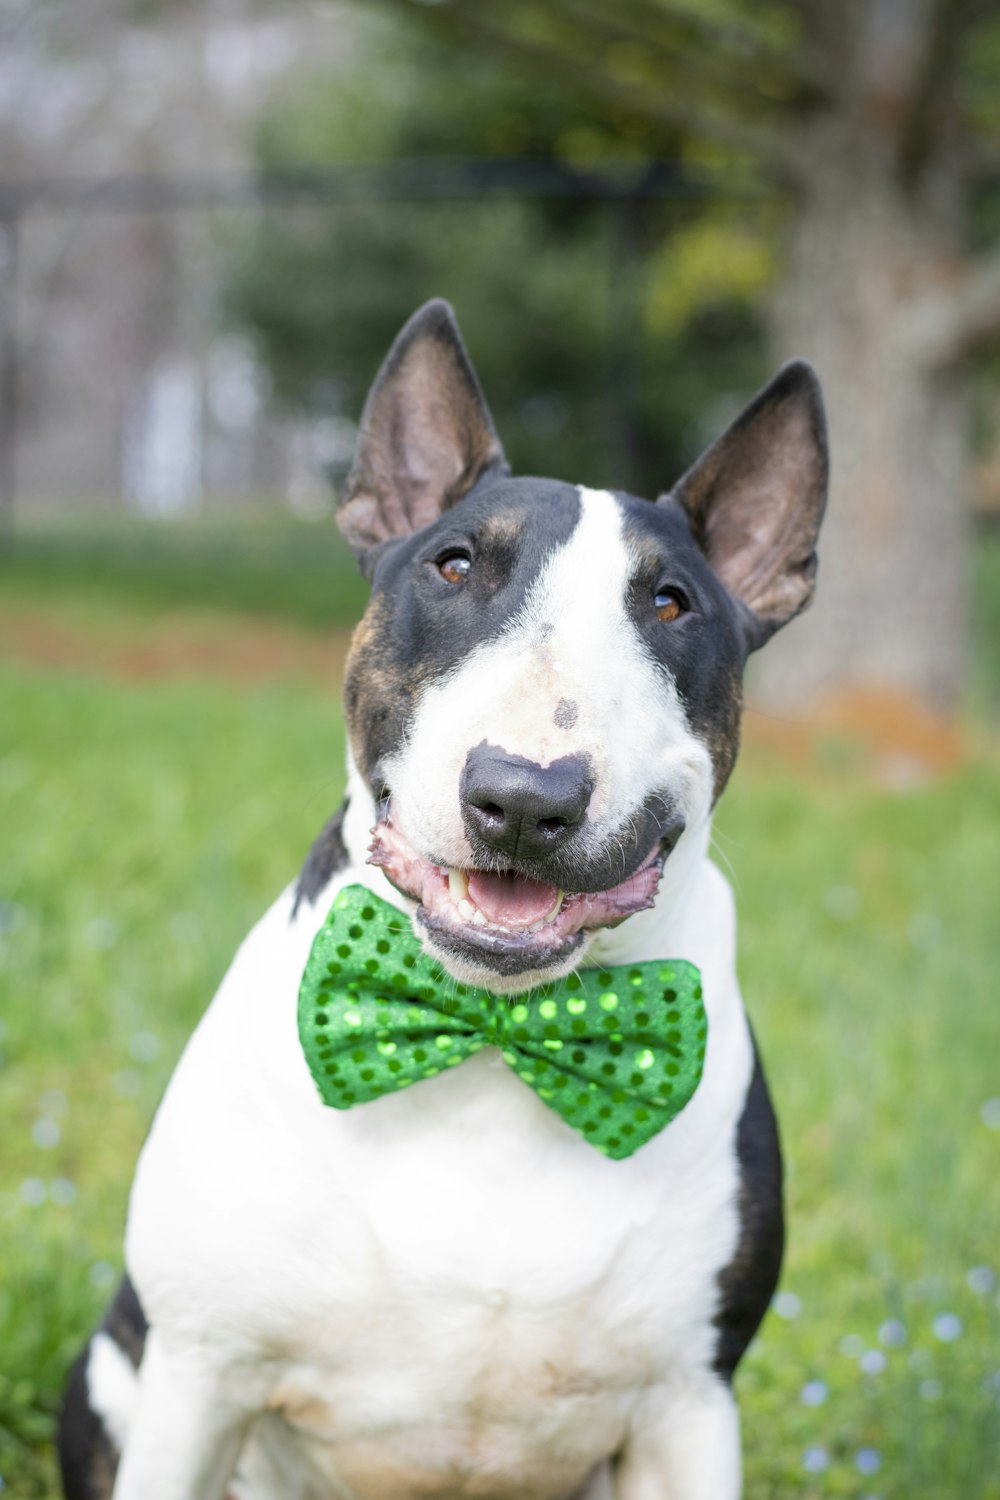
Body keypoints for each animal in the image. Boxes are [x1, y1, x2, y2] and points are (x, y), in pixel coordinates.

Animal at [60, 298, 827, 1494]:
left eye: (671, 603)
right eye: (454, 566)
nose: (524, 797)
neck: (491, 1036)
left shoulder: (688, 1407)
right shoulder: (197, 1375)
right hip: (109, 1372)